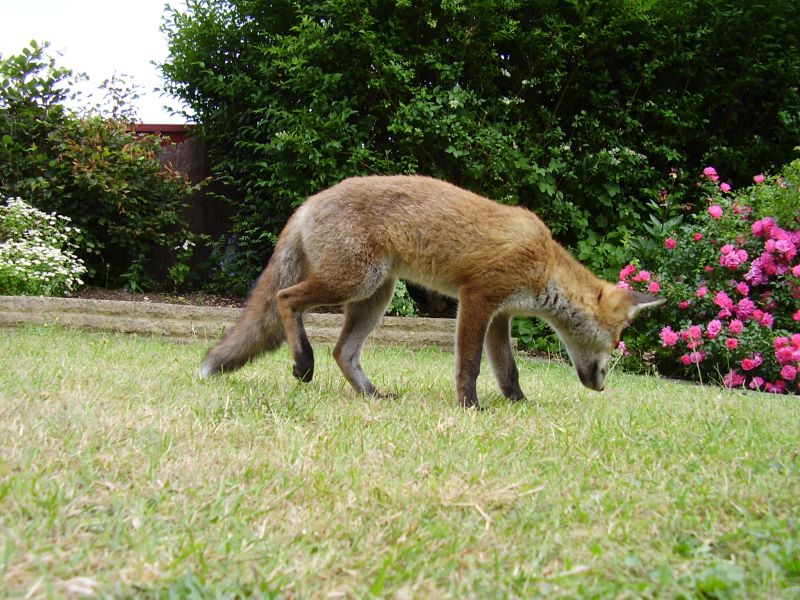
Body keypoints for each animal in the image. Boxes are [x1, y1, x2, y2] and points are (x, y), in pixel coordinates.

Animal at [200, 173, 664, 408]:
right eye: (616, 342)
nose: (601, 386)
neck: (544, 262)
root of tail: (311, 199)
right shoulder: (477, 298)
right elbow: (470, 366)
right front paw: (470, 406)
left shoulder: (501, 314)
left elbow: (508, 370)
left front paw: (518, 403)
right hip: (353, 281)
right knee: (286, 300)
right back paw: (303, 362)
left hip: (376, 294)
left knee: (343, 352)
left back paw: (372, 395)